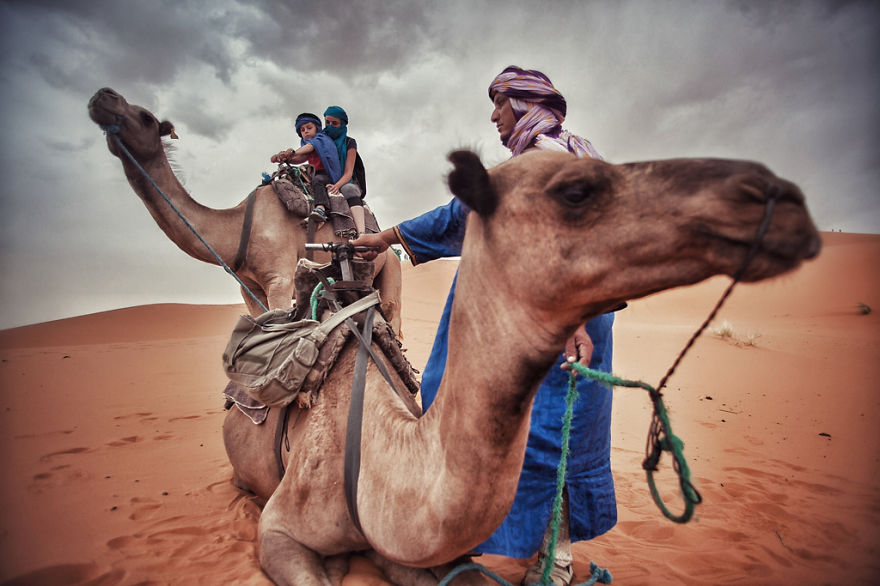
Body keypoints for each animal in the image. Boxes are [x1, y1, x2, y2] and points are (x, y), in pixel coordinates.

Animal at [86, 86, 402, 326]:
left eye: (146, 118)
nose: (104, 95)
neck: (239, 228)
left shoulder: (279, 279)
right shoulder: (248, 289)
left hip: (391, 268)